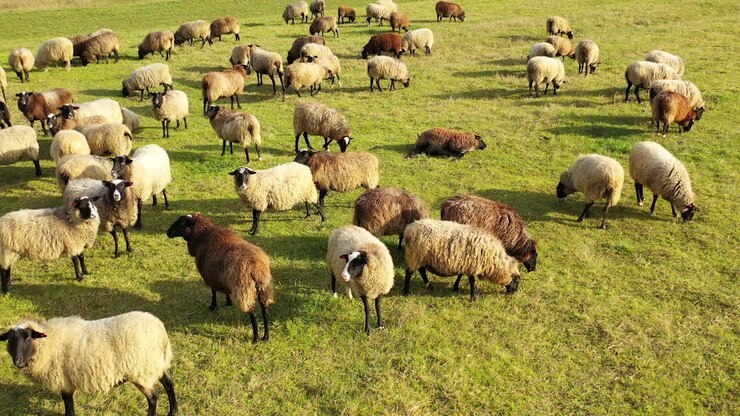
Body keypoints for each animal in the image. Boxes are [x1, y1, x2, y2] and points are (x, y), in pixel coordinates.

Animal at [0, 312, 177, 416]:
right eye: (10, 339)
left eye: (28, 337)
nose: (18, 361)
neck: (48, 342)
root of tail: (160, 333)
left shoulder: (63, 380)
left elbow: (68, 406)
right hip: (155, 365)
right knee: (169, 384)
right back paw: (173, 411)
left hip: (140, 371)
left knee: (153, 397)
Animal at [166, 214, 273, 342]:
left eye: (182, 223)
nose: (168, 232)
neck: (203, 235)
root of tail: (255, 268)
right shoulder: (222, 277)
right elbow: (225, 290)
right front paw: (228, 302)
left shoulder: (210, 275)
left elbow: (213, 291)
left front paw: (213, 306)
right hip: (263, 288)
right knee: (265, 311)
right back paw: (266, 336)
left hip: (244, 290)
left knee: (253, 313)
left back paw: (255, 338)